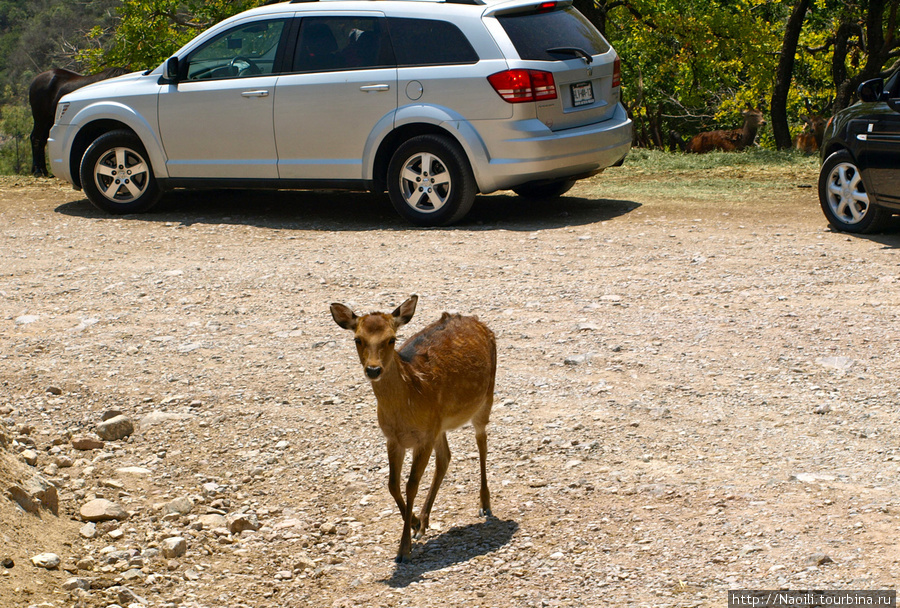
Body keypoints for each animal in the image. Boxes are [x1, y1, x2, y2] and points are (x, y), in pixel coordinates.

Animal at [332, 296, 500, 564]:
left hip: (485, 398)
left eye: (391, 339)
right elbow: (392, 484)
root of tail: (477, 321)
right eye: (357, 339)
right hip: (440, 426)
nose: (373, 370)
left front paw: (403, 550)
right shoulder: (394, 438)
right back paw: (424, 520)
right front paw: (413, 523)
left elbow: (411, 485)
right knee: (445, 457)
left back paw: (484, 503)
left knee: (482, 442)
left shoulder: (423, 438)